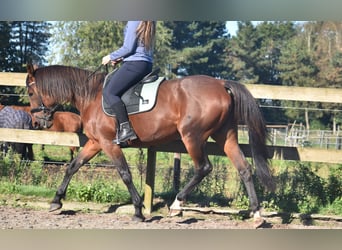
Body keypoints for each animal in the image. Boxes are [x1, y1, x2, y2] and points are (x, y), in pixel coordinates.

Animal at [25, 64, 276, 227]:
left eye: (30, 91)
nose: (37, 122)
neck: (91, 95)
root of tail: (221, 84)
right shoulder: (96, 143)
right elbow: (73, 166)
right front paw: (56, 201)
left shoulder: (109, 144)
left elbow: (125, 174)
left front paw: (138, 210)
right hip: (226, 136)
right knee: (244, 168)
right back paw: (257, 215)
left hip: (192, 137)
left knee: (203, 168)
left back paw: (177, 205)